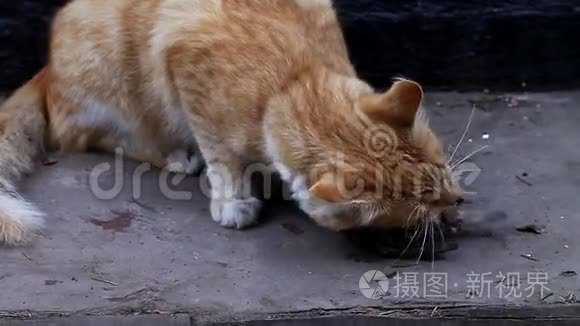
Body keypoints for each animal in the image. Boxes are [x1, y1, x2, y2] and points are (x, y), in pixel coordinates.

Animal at [0, 0, 462, 244]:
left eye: (442, 172)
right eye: (417, 208)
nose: (457, 201)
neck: (291, 79)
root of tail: (48, 70)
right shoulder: (187, 69)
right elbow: (221, 154)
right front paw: (233, 198)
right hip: (111, 86)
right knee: (84, 135)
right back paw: (174, 154)